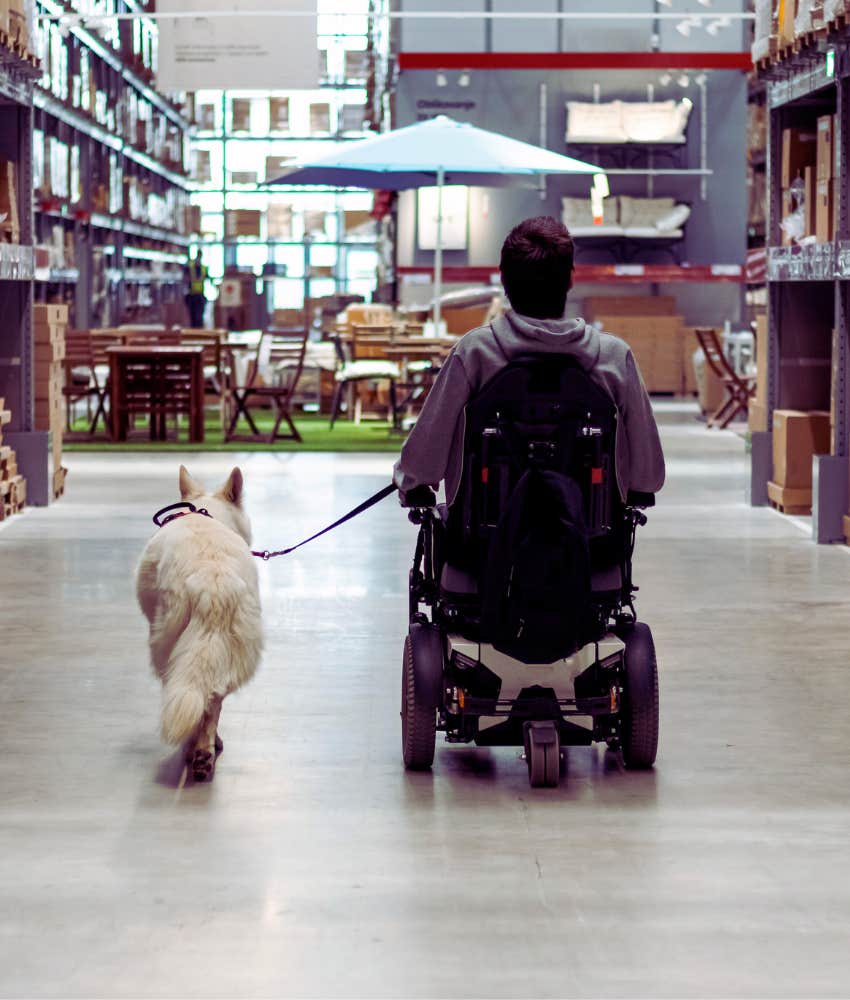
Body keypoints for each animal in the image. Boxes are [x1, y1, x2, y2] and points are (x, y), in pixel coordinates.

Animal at [135, 468, 262, 780]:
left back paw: (195, 750)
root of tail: (212, 583)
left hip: (166, 642)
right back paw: (206, 749)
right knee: (213, 698)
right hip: (227, 644)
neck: (205, 514)